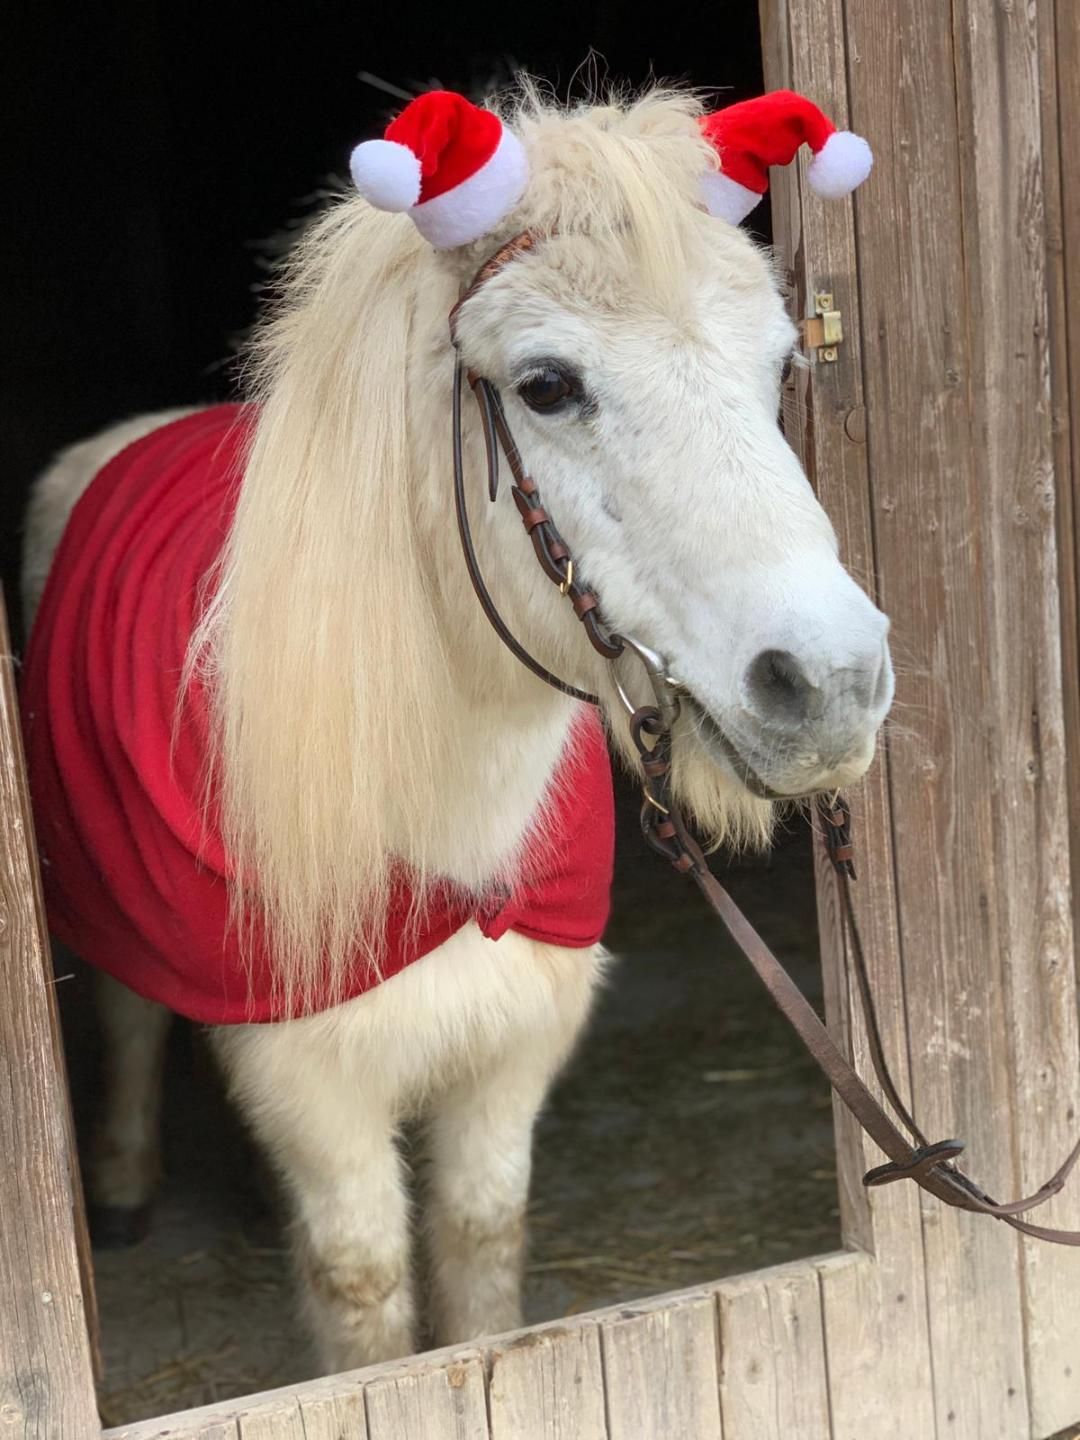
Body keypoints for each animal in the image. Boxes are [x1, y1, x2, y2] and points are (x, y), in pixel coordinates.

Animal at [21, 87, 892, 1370]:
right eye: (546, 385)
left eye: (779, 364)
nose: (830, 684)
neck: (432, 820)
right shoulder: (320, 1091)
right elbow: (368, 1295)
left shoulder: (506, 1061)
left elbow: (482, 1253)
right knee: (133, 1016)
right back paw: (125, 1189)